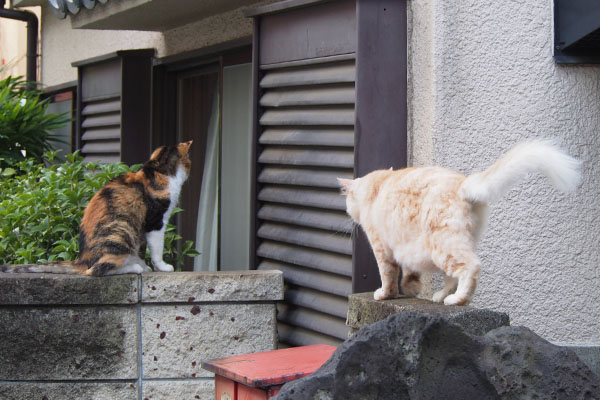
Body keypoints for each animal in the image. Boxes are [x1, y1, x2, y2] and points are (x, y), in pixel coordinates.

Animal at [0, 142, 191, 276]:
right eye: (188, 160)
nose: (190, 166)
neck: (158, 170)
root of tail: (81, 260)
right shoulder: (155, 221)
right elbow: (156, 249)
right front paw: (162, 267)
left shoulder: (142, 228)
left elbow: (141, 250)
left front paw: (145, 266)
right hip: (121, 229)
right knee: (94, 270)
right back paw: (133, 268)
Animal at [342, 139, 580, 304]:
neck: (377, 185)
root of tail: (462, 183)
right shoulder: (404, 247)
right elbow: (409, 273)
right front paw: (411, 289)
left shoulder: (382, 247)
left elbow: (388, 275)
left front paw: (385, 294)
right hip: (450, 247)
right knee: (452, 277)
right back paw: (440, 296)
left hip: (443, 246)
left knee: (470, 268)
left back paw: (458, 299)